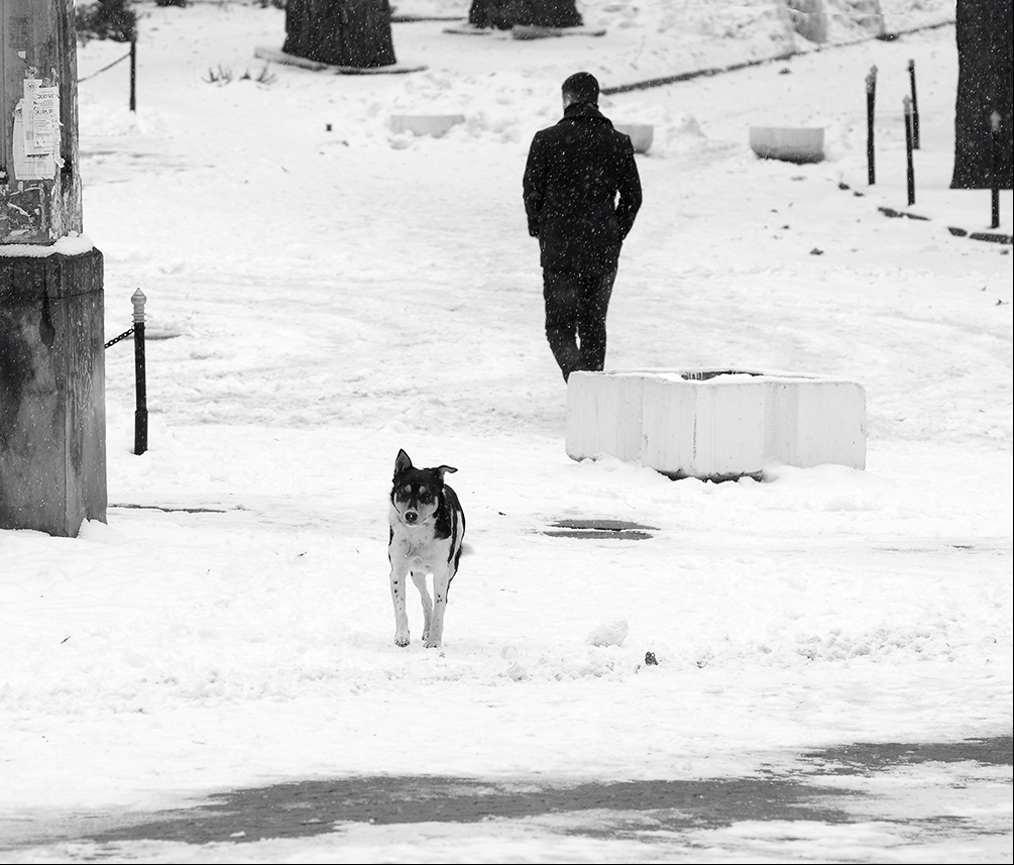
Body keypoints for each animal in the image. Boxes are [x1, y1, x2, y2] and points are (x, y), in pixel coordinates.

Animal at [387, 448, 466, 644]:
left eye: (427, 496)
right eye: (404, 493)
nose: (410, 515)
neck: (418, 535)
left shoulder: (441, 572)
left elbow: (440, 606)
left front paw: (435, 640)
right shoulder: (398, 570)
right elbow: (401, 606)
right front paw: (402, 635)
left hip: (451, 567)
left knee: (441, 601)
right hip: (416, 573)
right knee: (426, 598)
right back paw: (426, 629)